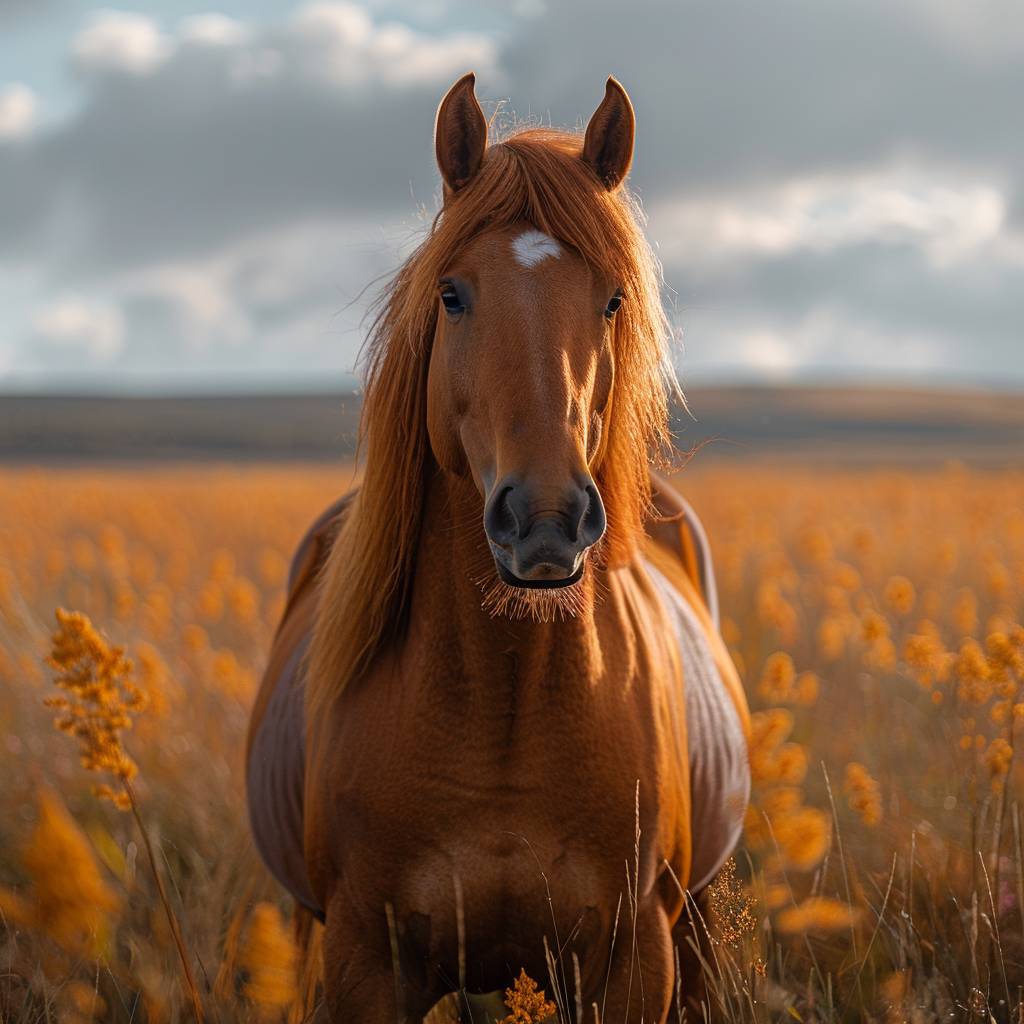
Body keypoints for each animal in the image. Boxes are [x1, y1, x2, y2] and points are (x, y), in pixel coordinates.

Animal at [243, 74, 749, 1024]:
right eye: (452, 294)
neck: (506, 709)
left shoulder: (636, 959)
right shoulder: (366, 959)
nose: (546, 518)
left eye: (612, 299)